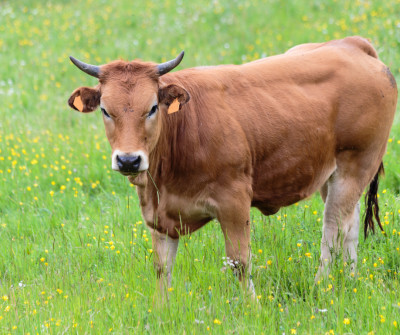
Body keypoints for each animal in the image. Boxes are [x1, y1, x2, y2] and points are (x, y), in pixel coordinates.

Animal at [67, 36, 396, 300]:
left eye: (152, 108)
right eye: (105, 110)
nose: (128, 160)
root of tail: (351, 44)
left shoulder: (234, 201)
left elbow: (239, 262)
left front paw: (252, 307)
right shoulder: (158, 214)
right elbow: (162, 267)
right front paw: (162, 309)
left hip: (356, 166)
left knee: (333, 231)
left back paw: (321, 287)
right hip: (331, 176)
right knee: (349, 227)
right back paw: (349, 281)